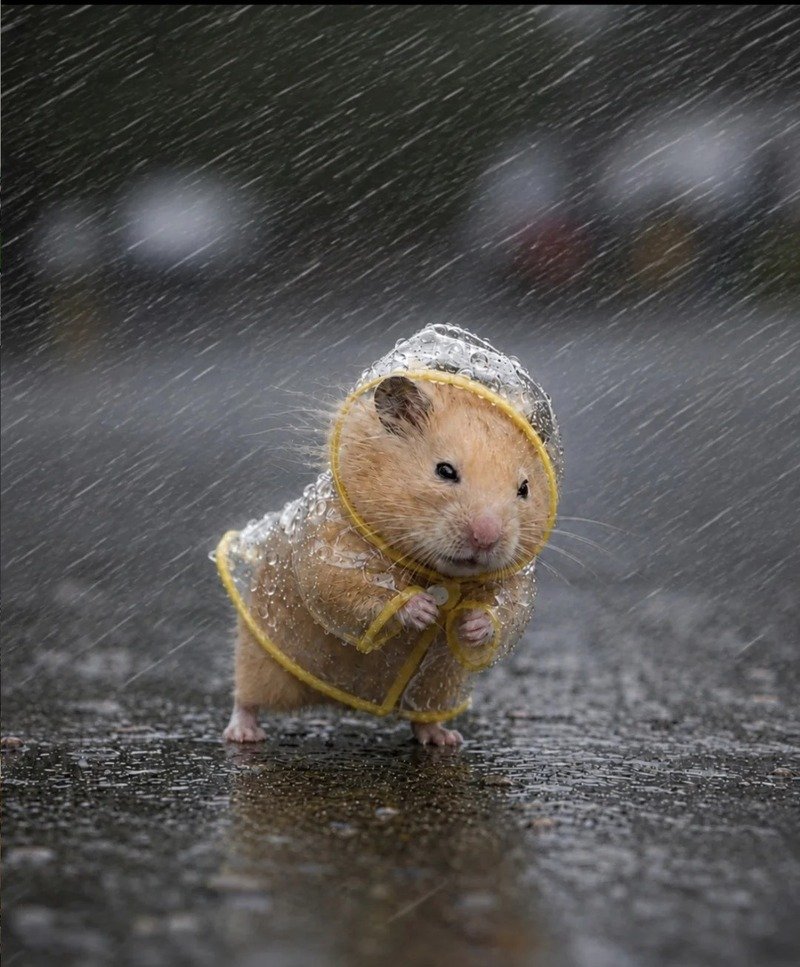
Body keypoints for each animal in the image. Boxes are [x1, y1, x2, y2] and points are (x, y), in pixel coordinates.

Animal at [216, 325, 560, 747]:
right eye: (444, 471)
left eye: (524, 489)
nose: (486, 538)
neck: (434, 570)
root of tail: (344, 702)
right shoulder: (332, 543)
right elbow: (345, 584)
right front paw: (423, 609)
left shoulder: (516, 581)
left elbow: (508, 611)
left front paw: (472, 624)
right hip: (261, 655)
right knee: (246, 696)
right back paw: (243, 734)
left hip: (437, 688)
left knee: (423, 716)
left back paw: (444, 738)